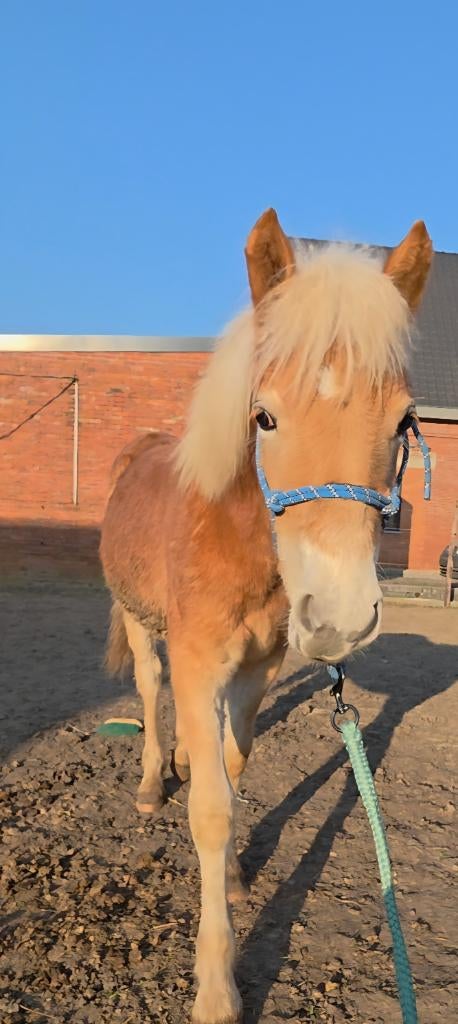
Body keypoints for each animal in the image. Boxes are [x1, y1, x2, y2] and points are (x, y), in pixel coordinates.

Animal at [100, 208, 432, 1024]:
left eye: (404, 420)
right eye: (265, 416)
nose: (339, 616)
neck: (234, 539)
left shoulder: (257, 669)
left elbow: (234, 764)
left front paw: (235, 875)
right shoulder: (196, 659)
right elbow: (210, 809)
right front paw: (217, 986)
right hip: (138, 622)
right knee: (150, 693)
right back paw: (154, 782)